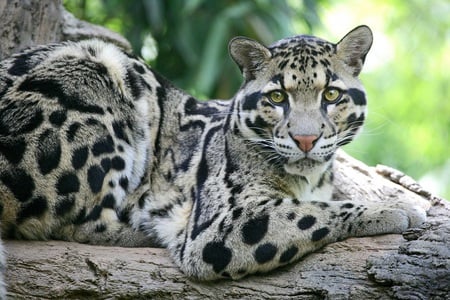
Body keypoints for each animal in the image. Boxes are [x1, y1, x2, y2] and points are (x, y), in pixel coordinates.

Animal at [0, 25, 428, 286]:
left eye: (332, 94)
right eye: (277, 97)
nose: (305, 139)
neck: (309, 176)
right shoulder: (219, 225)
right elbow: (311, 212)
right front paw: (395, 209)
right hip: (98, 68)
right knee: (66, 222)